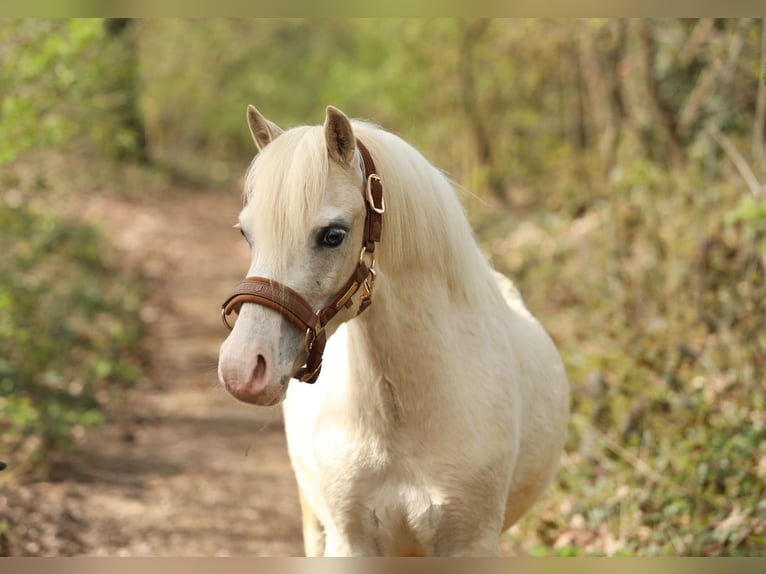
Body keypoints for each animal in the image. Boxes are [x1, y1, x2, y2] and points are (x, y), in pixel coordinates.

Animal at [217, 105, 570, 556]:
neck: (405, 414)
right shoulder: (350, 544)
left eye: (333, 235)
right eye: (247, 233)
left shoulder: (470, 544)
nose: (242, 369)